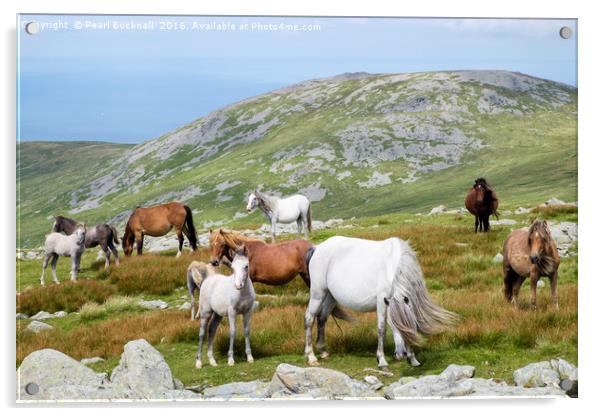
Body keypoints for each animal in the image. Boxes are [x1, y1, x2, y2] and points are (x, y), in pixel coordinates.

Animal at [304, 236, 454, 368]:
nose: (404, 355)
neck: (392, 267)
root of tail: (317, 248)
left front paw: (412, 359)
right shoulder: (382, 302)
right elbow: (381, 329)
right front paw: (382, 360)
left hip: (331, 297)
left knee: (322, 318)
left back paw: (323, 351)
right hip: (318, 294)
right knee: (309, 319)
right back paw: (311, 357)